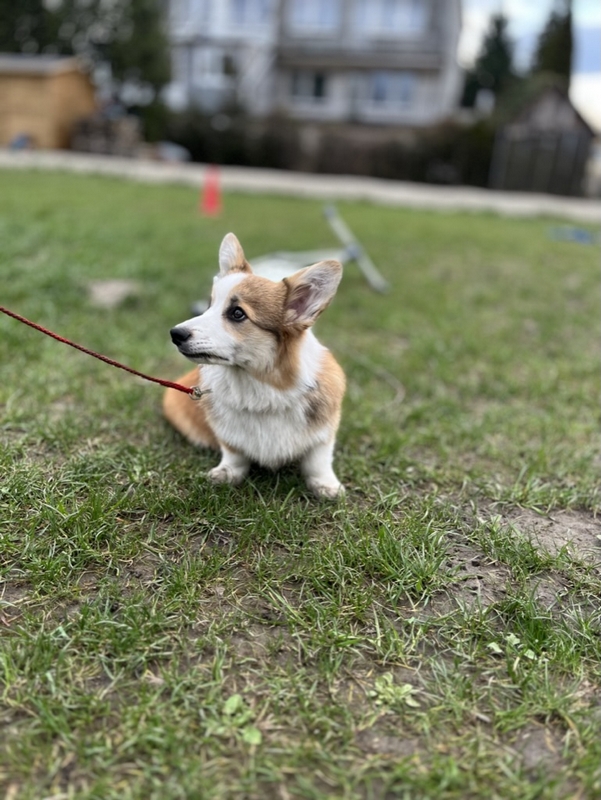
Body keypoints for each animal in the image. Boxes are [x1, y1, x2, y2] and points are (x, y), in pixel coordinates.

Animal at [162, 228, 344, 500]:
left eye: (238, 313)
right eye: (209, 306)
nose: (175, 334)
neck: (262, 386)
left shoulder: (325, 433)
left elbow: (318, 459)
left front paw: (327, 486)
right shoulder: (228, 437)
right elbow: (234, 453)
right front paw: (226, 474)